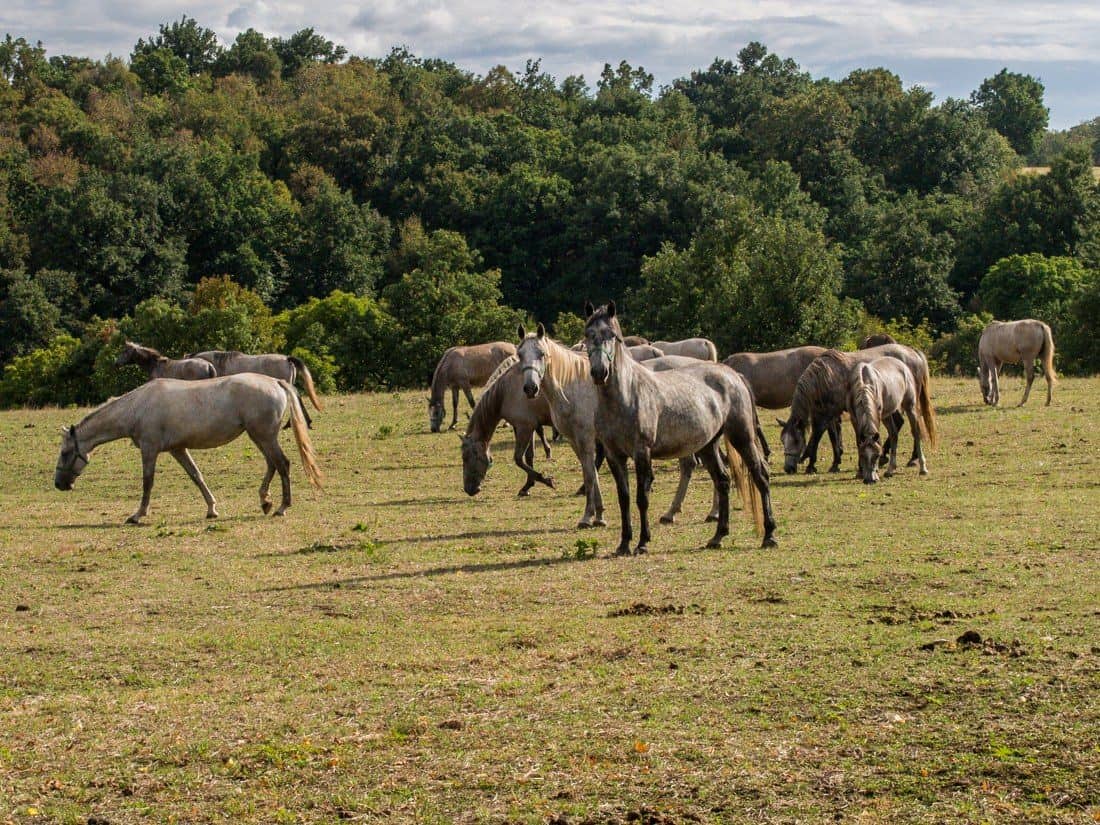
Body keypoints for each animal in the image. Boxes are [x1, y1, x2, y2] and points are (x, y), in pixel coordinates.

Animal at [53, 374, 321, 523]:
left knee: (282, 464)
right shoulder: (178, 449)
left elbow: (147, 482)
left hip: (263, 436)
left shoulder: (149, 450)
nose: (59, 484)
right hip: (260, 437)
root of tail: (276, 381)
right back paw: (265, 501)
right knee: (272, 464)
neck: (138, 407)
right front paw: (212, 509)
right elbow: (196, 476)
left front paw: (138, 515)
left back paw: (282, 507)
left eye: (65, 453)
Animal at [459, 356, 554, 497]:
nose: (468, 489)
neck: (506, 392)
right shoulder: (527, 427)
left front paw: (545, 480)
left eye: (466, 458)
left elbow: (519, 459)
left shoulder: (524, 428)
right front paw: (527, 486)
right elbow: (529, 456)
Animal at [585, 301, 774, 558]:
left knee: (760, 476)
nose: (599, 372)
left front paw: (643, 542)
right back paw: (718, 536)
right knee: (723, 481)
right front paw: (623, 544)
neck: (626, 395)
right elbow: (624, 499)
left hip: (742, 437)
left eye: (611, 335)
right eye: (588, 334)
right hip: (708, 445)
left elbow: (641, 498)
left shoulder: (642, 452)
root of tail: (734, 375)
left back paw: (769, 535)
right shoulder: (615, 455)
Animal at [778, 347, 941, 477]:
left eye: (796, 441)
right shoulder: (831, 412)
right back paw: (887, 458)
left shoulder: (830, 414)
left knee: (915, 428)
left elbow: (818, 436)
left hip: (909, 403)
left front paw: (811, 465)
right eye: (782, 441)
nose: (788, 468)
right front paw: (834, 463)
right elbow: (832, 436)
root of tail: (913, 352)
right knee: (898, 425)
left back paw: (913, 459)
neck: (826, 376)